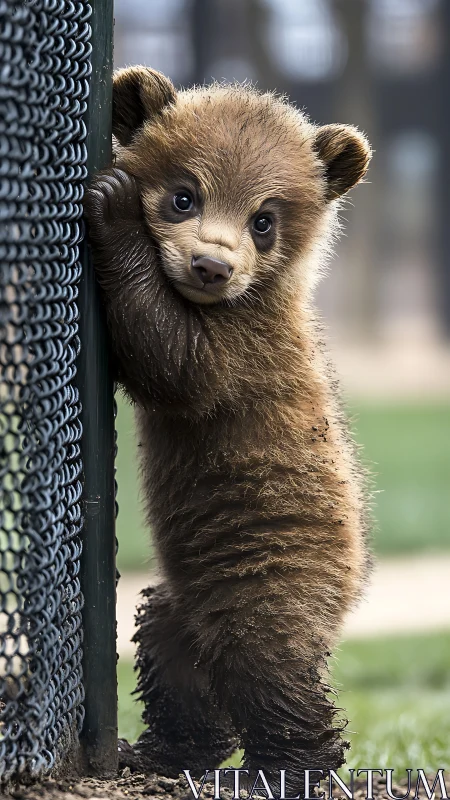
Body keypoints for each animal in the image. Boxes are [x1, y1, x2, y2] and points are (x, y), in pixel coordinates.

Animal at [84, 66, 372, 795]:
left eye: (264, 219)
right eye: (184, 195)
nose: (212, 266)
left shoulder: (239, 354)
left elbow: (169, 360)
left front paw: (113, 204)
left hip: (271, 580)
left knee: (271, 675)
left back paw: (286, 768)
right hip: (179, 603)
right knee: (175, 670)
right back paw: (154, 753)